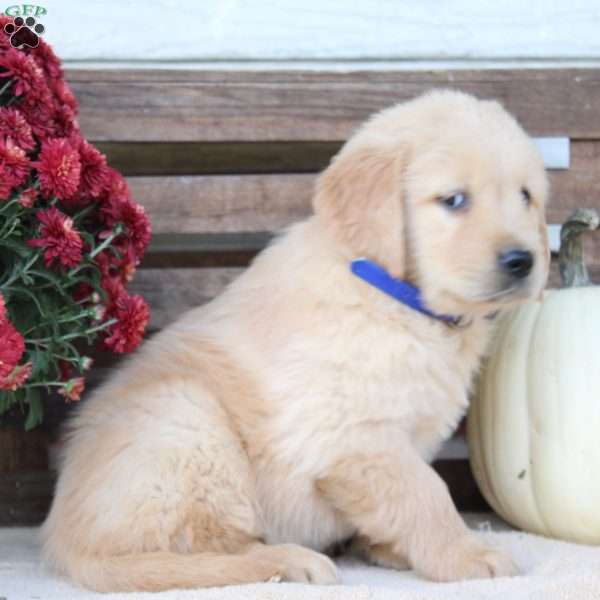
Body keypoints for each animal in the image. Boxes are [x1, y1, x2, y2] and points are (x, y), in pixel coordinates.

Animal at [41, 89, 548, 592]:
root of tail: (65, 542)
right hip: (188, 422)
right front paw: (466, 555)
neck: (393, 295)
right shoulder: (355, 436)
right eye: (454, 200)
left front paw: (387, 548)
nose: (522, 260)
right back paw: (288, 560)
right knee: (201, 553)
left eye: (526, 196)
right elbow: (425, 493)